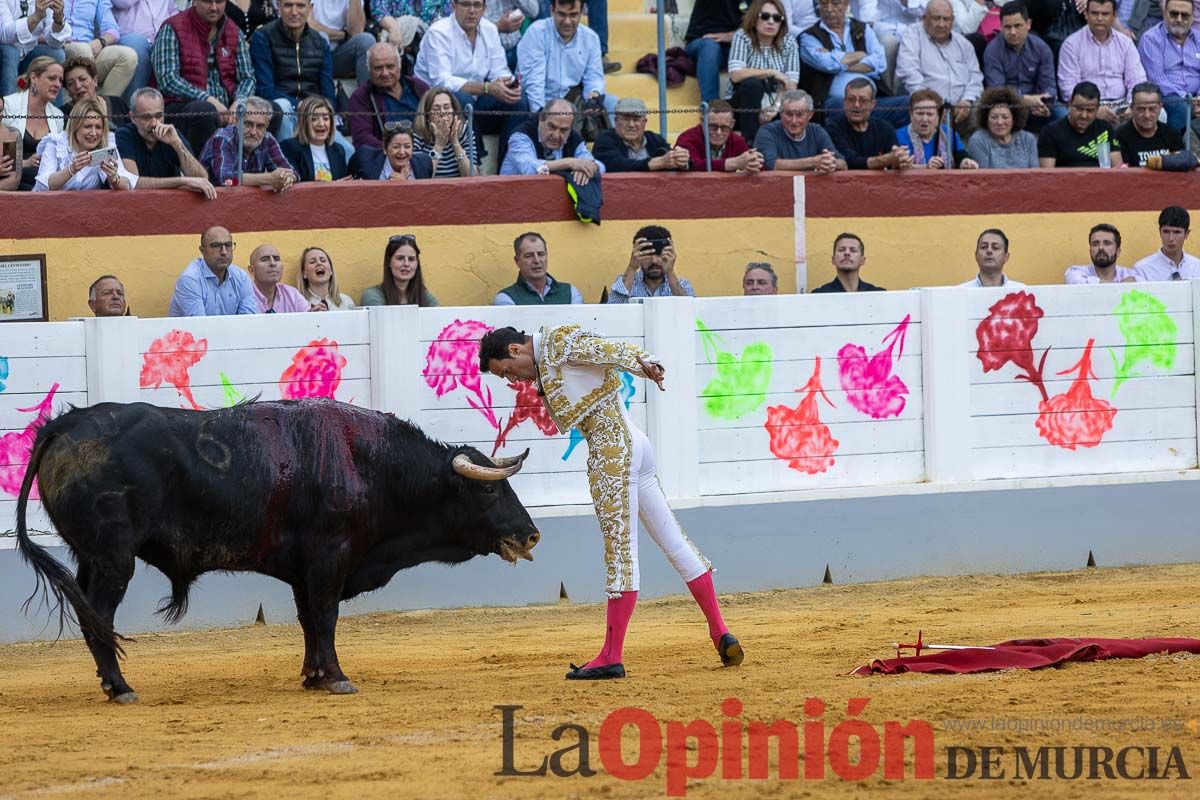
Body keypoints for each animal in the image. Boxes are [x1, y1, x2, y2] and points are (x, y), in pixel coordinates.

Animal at [12, 398, 540, 700]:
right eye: (489, 491)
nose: (532, 534)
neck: (370, 463)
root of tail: (66, 425)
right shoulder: (329, 557)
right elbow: (325, 617)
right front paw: (337, 678)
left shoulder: (304, 569)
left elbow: (308, 619)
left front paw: (313, 675)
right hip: (113, 559)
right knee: (100, 614)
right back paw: (120, 687)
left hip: (89, 558)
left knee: (87, 612)